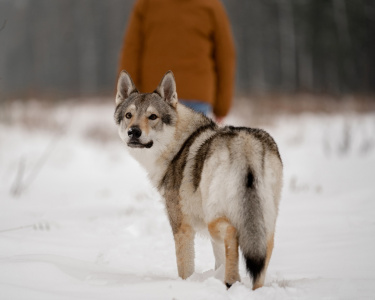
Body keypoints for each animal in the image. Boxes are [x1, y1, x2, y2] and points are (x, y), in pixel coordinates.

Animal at [114, 71, 282, 290]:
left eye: (152, 117)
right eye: (128, 115)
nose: (133, 132)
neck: (178, 145)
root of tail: (246, 144)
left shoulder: (181, 228)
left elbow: (185, 268)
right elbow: (219, 259)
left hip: (215, 220)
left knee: (232, 232)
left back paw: (232, 281)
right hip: (264, 223)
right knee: (263, 252)